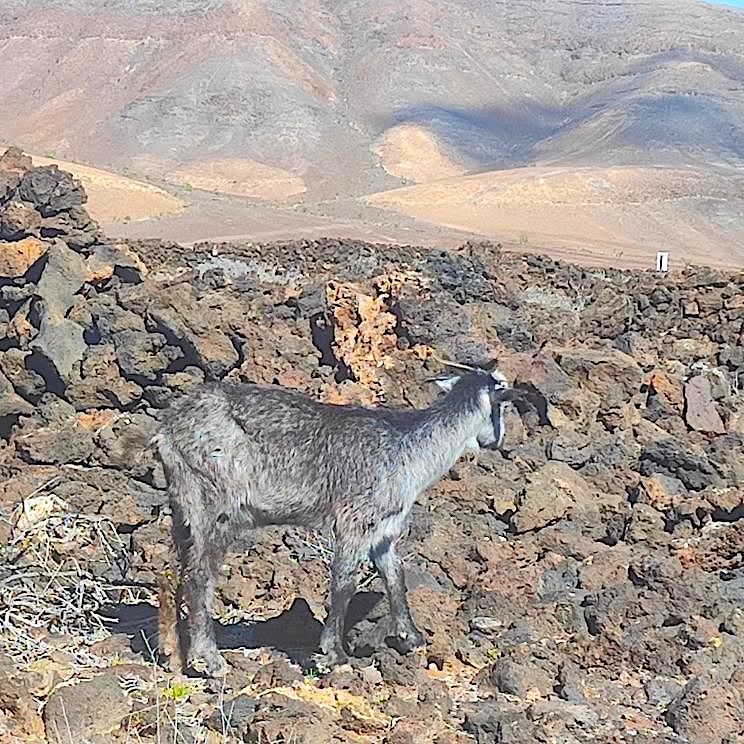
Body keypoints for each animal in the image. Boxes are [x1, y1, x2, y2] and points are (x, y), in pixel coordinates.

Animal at [144, 362, 546, 677]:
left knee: (173, 569)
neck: (409, 449)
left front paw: (412, 638)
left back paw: (173, 655)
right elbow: (344, 583)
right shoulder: (355, 521)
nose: (495, 442)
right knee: (200, 574)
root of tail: (167, 430)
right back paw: (210, 661)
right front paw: (334, 653)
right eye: (502, 408)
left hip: (184, 503)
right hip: (214, 500)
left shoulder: (384, 531)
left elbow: (395, 577)